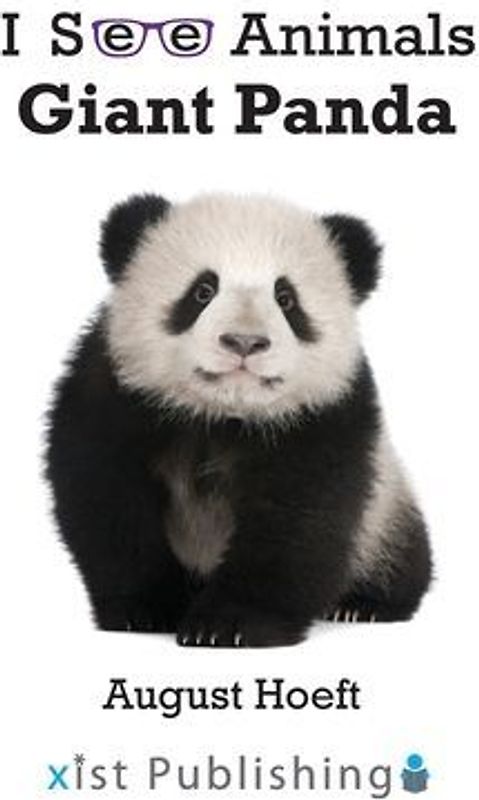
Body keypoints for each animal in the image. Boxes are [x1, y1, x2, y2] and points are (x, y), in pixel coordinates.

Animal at [46, 192, 432, 647]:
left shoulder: (323, 417)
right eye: (202, 291)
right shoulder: (114, 396)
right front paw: (144, 609)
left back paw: (364, 605)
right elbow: (108, 500)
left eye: (286, 298)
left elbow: (297, 520)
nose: (244, 342)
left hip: (384, 513)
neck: (221, 415)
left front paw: (230, 624)